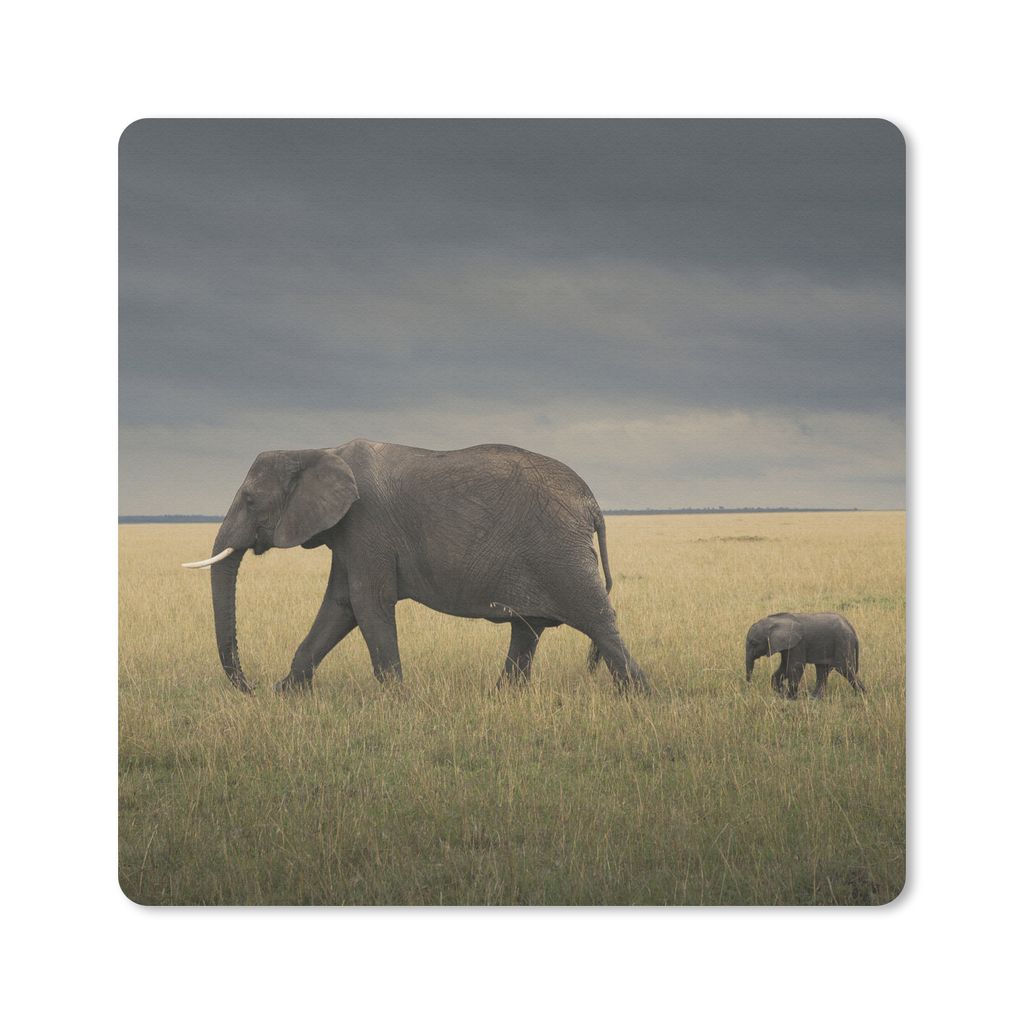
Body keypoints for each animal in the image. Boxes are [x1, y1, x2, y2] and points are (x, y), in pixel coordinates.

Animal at [183, 439, 648, 694]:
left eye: (249, 501)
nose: (251, 688)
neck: (318, 450)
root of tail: (592, 504)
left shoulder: (366, 523)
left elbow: (366, 603)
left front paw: (397, 699)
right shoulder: (348, 532)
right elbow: (340, 606)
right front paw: (286, 693)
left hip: (559, 551)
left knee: (597, 620)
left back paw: (636, 697)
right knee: (527, 628)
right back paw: (503, 696)